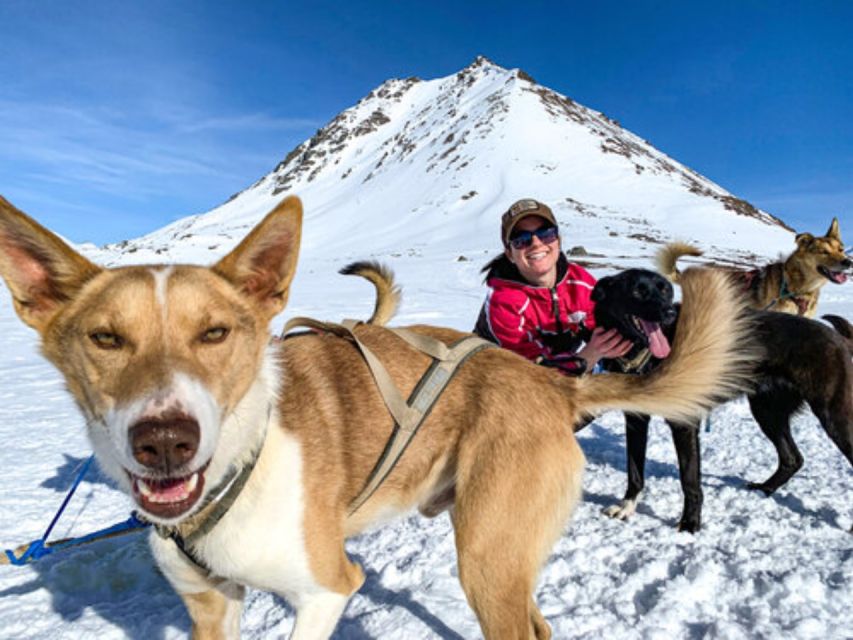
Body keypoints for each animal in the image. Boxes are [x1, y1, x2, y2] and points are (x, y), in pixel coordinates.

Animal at [1, 196, 760, 640]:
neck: (241, 464)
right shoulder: (211, 605)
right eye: (105, 338)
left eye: (215, 333)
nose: (164, 442)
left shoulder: (326, 591)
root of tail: (550, 384)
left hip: (485, 558)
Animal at [592, 268, 852, 532]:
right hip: (766, 411)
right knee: (792, 458)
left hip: (835, 417)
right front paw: (627, 506)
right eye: (637, 290)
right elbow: (634, 470)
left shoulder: (685, 423)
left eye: (666, 291)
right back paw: (764, 488)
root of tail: (837, 337)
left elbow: (690, 481)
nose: (669, 312)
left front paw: (690, 525)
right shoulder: (635, 419)